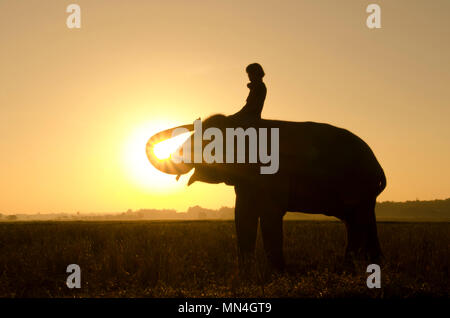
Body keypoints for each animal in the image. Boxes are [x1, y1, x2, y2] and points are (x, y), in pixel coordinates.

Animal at [146, 115, 384, 270]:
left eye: (207, 141)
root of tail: (377, 163)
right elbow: (243, 215)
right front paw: (245, 272)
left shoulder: (273, 175)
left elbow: (270, 215)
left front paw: (278, 271)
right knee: (359, 221)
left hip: (359, 186)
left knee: (357, 222)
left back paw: (350, 267)